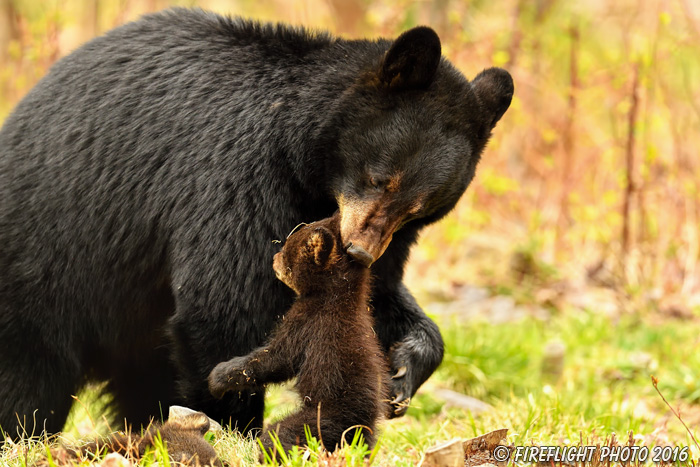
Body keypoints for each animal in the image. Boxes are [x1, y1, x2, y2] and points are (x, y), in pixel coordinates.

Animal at [208, 214, 386, 456]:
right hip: (362, 436)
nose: (273, 258)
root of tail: (358, 424)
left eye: (287, 249)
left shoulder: (305, 322)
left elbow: (276, 358)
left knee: (279, 435)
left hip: (320, 419)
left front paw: (219, 376)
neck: (336, 297)